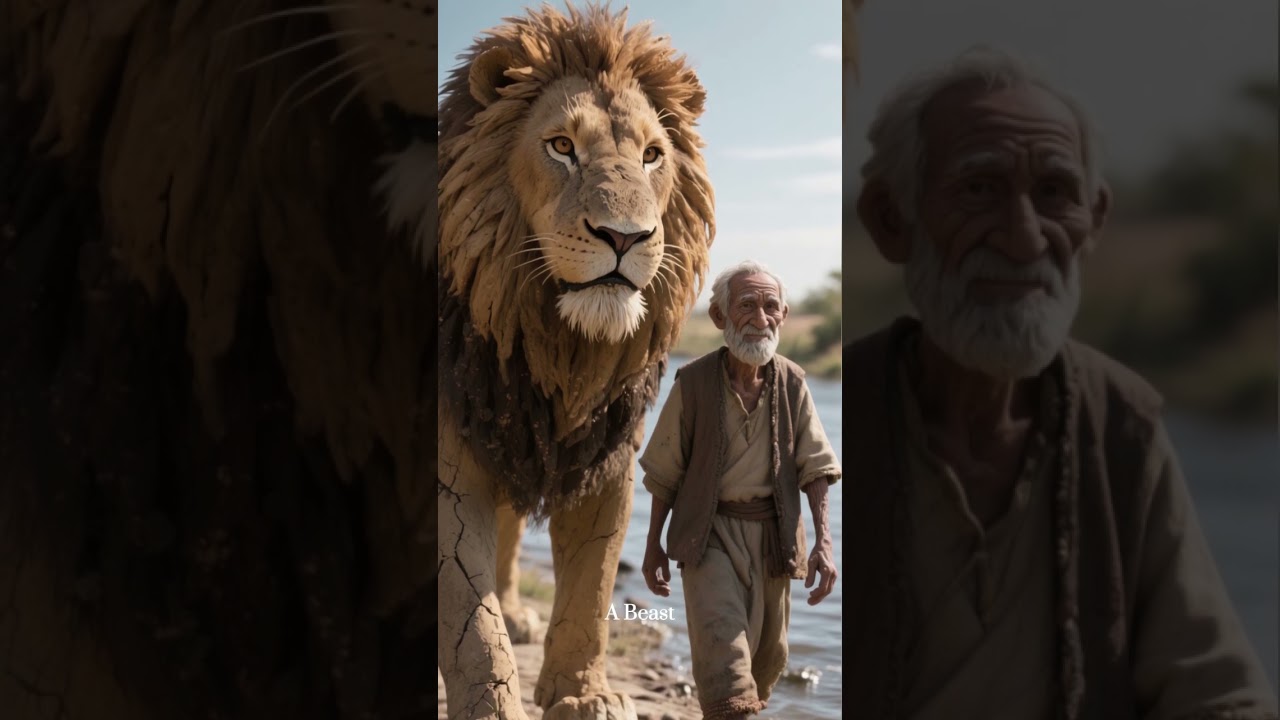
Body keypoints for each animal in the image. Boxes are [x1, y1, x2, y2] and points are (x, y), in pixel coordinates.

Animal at [436, 5, 714, 719]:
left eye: (651, 155)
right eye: (562, 146)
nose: (625, 237)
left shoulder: (606, 453)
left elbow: (592, 587)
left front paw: (585, 696)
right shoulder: (451, 457)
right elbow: (471, 618)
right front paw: (496, 703)